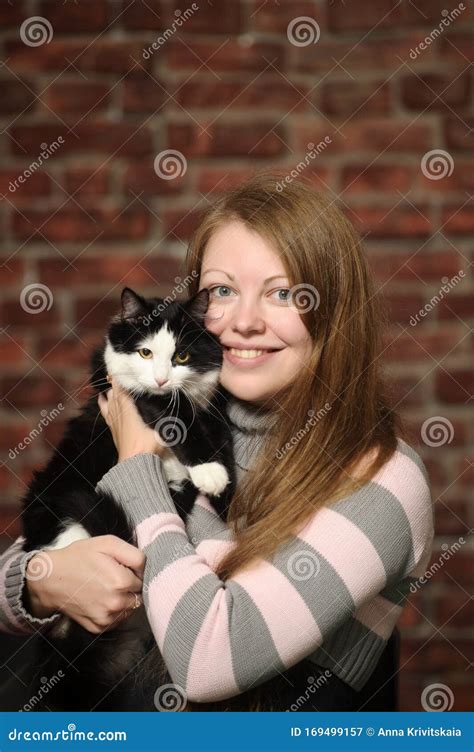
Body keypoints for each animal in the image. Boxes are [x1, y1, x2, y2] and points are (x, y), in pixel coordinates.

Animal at [21, 284, 236, 708]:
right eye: (145, 353)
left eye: (182, 356)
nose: (161, 380)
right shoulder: (123, 384)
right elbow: (178, 418)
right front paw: (210, 470)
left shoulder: (210, 406)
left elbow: (215, 427)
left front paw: (221, 487)